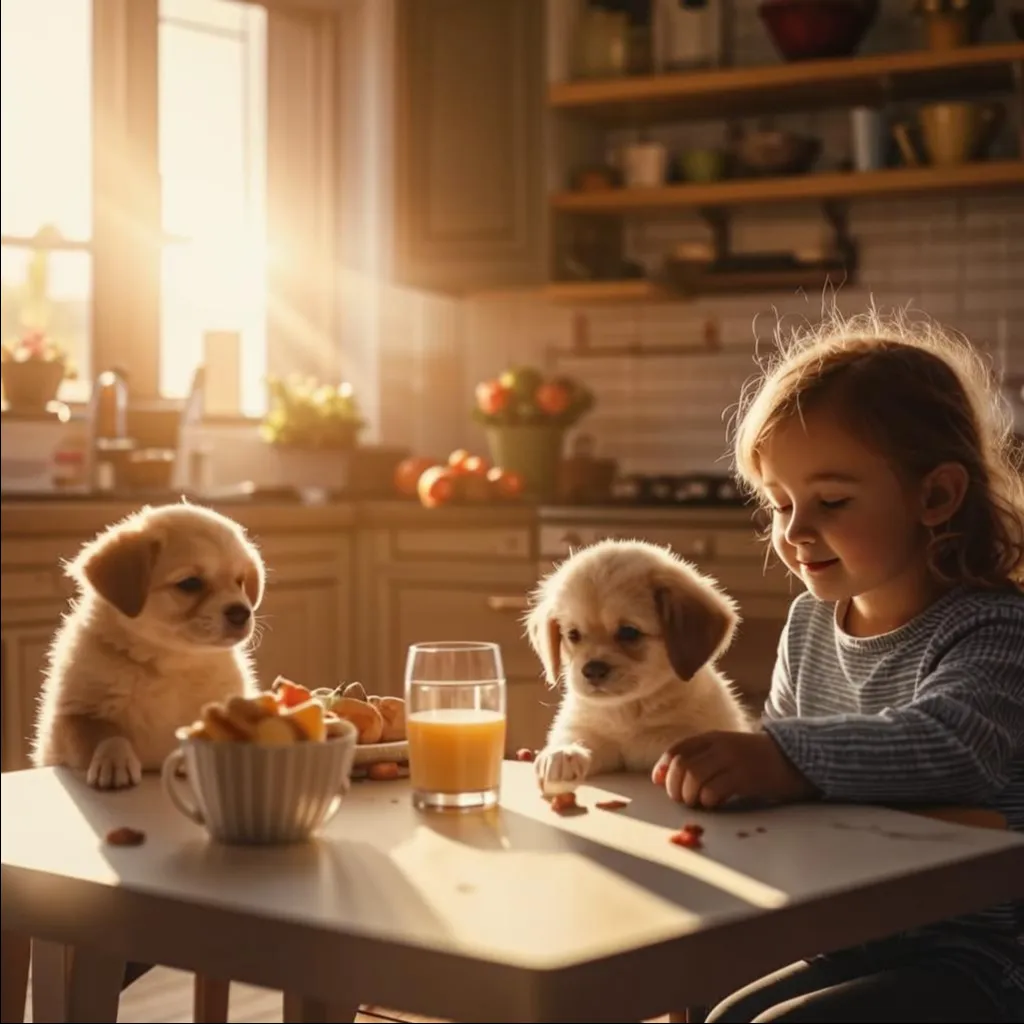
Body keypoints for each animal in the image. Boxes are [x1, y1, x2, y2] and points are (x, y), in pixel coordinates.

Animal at [35, 503, 266, 790]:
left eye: (240, 582)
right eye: (190, 583)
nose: (241, 613)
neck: (170, 663)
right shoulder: (72, 716)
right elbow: (106, 736)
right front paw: (114, 760)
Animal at [524, 540, 749, 794]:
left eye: (629, 632)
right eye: (573, 634)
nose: (592, 670)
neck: (629, 710)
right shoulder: (587, 730)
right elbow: (573, 736)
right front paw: (561, 755)